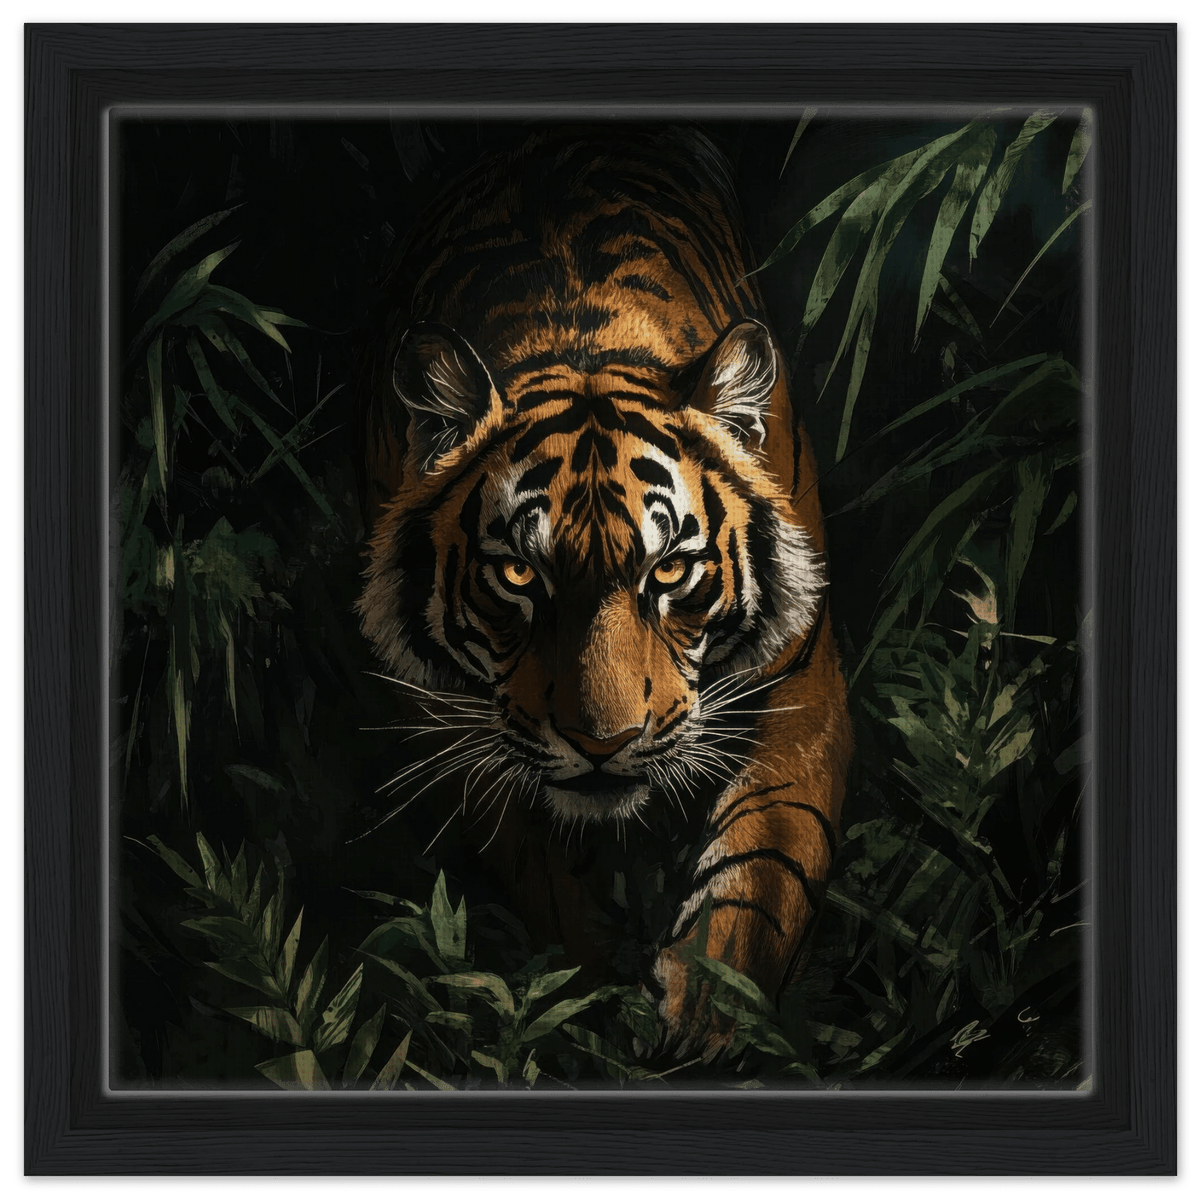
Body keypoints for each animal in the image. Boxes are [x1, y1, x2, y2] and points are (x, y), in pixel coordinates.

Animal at [357, 126, 853, 1059]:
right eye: (520, 574)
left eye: (669, 572)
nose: (602, 744)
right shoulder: (447, 718)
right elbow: (546, 888)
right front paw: (580, 1010)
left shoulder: (800, 686)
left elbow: (764, 869)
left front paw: (706, 1013)